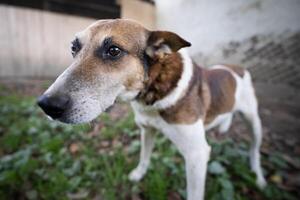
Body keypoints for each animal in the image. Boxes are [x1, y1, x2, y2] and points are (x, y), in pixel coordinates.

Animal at [38, 19, 268, 200]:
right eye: (73, 48)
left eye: (114, 51)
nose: (47, 105)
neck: (152, 91)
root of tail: (237, 68)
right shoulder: (147, 130)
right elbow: (144, 157)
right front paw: (139, 174)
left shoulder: (197, 155)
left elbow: (194, 192)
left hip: (254, 122)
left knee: (254, 151)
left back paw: (259, 177)